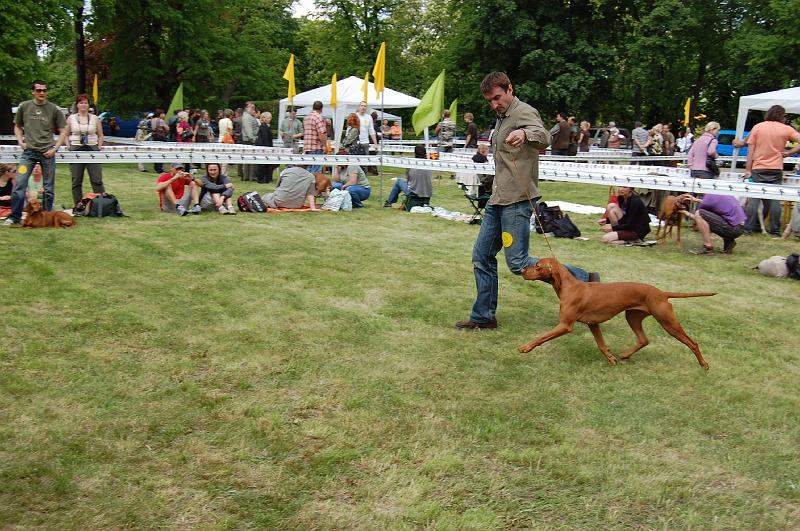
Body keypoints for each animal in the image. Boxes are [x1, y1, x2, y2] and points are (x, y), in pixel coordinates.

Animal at [520, 258, 716, 370]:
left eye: (537, 266)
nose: (522, 270)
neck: (570, 286)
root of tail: (661, 293)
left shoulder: (565, 325)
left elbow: (541, 337)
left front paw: (526, 347)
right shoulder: (593, 324)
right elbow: (601, 345)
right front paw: (611, 358)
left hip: (668, 322)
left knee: (693, 343)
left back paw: (704, 364)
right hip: (632, 317)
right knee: (644, 340)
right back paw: (625, 355)